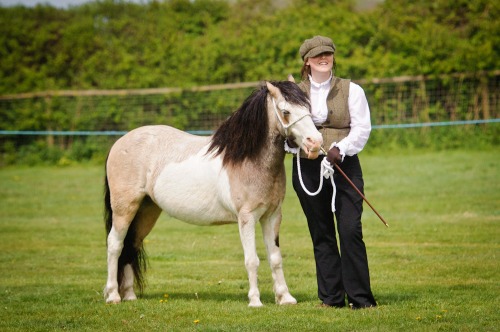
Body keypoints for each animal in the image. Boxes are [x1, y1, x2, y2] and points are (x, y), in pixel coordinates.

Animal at [104, 79, 324, 308]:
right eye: (285, 111)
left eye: (308, 108)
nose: (315, 142)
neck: (247, 159)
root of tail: (119, 143)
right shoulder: (247, 218)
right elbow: (252, 260)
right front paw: (255, 300)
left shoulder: (272, 216)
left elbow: (275, 258)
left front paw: (285, 298)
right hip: (124, 209)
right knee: (115, 245)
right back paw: (113, 296)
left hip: (146, 211)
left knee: (131, 245)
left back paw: (129, 295)